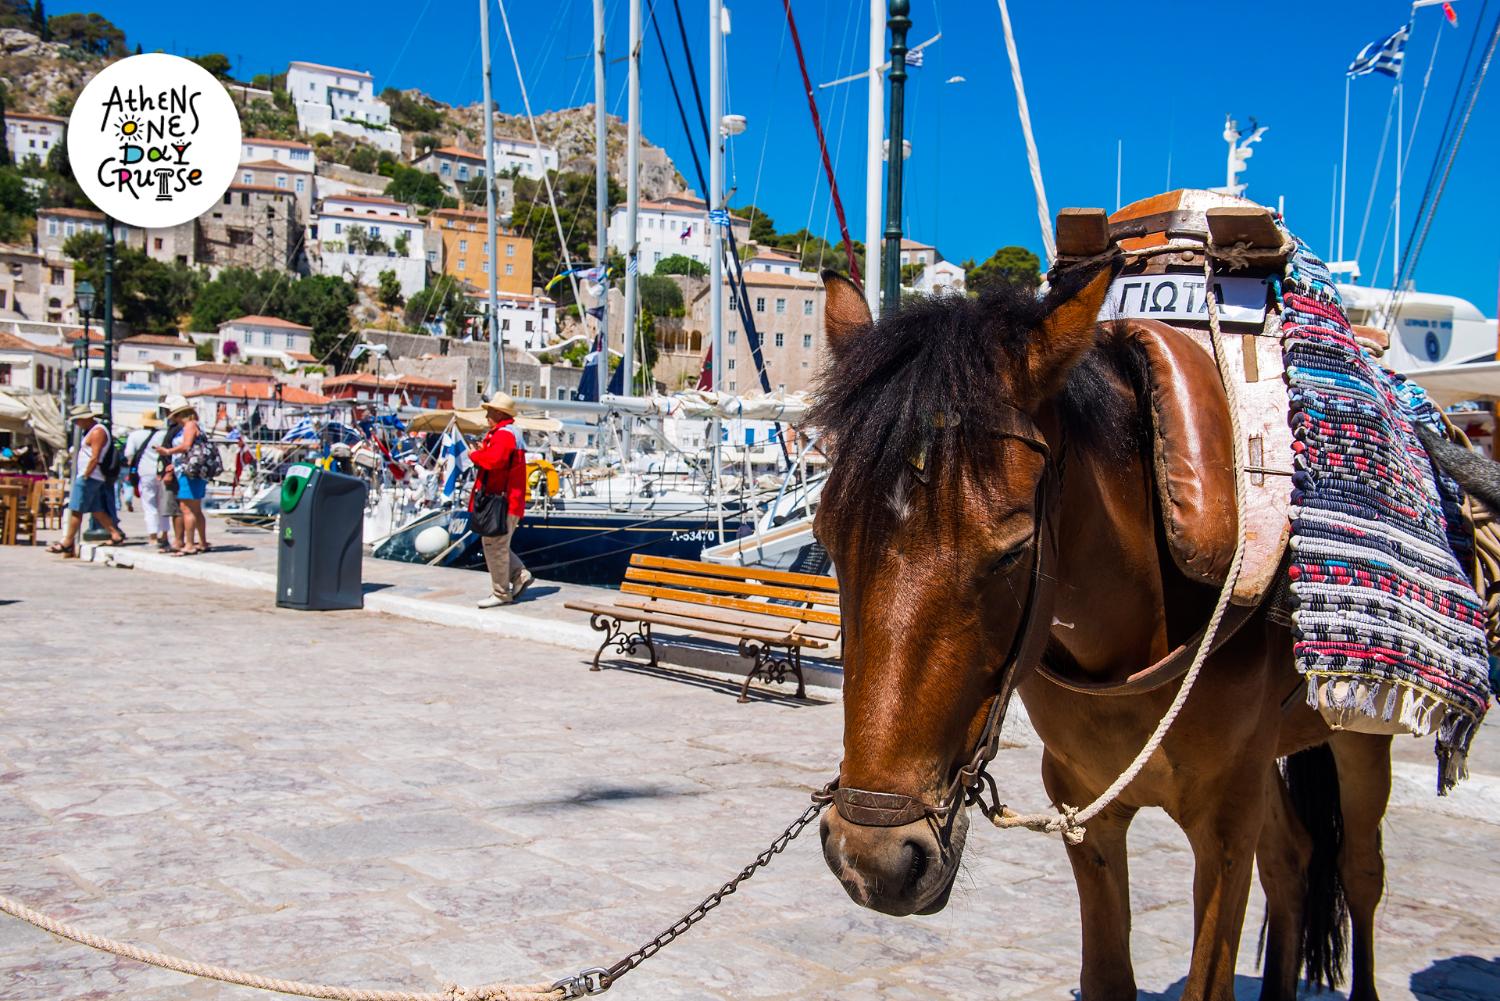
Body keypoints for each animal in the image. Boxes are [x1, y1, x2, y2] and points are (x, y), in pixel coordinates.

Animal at [810, 262, 1392, 996]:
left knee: (1360, 872)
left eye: (1013, 552)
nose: (874, 857)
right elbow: (1108, 972)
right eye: (826, 537)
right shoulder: (1086, 809)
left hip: (1360, 740)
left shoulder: (1226, 821)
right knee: (1293, 859)